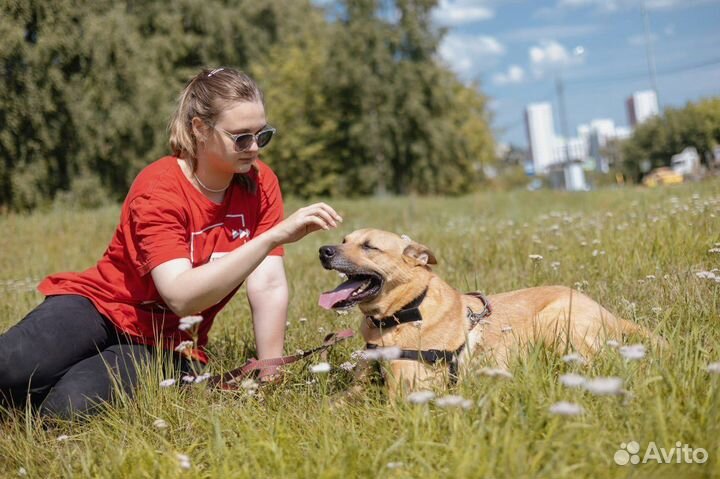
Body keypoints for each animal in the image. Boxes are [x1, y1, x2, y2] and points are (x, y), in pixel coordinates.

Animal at [318, 229, 656, 398]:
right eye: (345, 240)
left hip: (557, 321)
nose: (323, 250)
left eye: (369, 247)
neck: (403, 313)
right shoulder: (356, 389)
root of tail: (611, 314)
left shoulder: (407, 397)